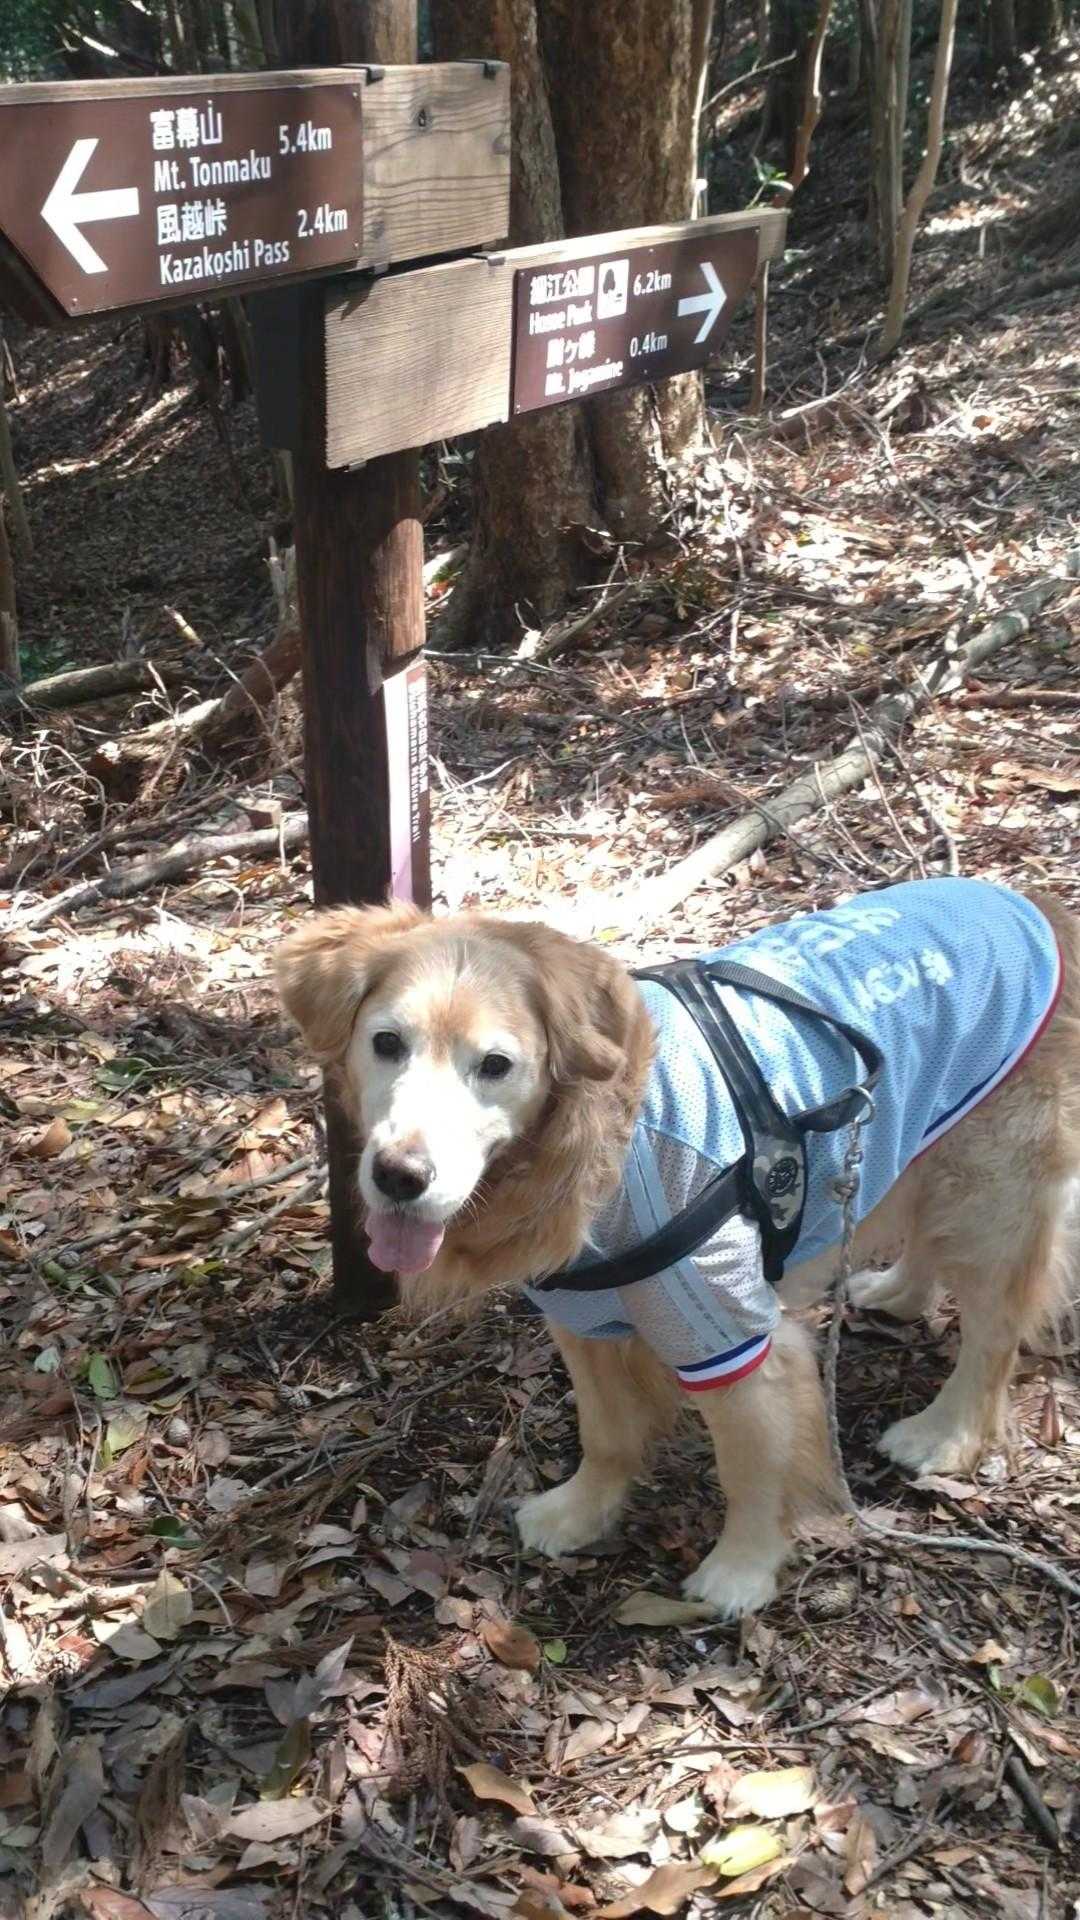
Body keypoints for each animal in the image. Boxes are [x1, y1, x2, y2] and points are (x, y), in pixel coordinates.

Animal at [276, 878, 1080, 1619]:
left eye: (496, 1065)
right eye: (386, 1043)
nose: (398, 1177)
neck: (602, 1139)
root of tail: (1032, 903)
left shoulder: (729, 1335)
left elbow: (752, 1465)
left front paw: (742, 1570)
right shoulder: (584, 1319)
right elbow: (605, 1431)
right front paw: (582, 1511)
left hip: (992, 1192)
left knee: (993, 1335)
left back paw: (946, 1432)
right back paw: (897, 1293)